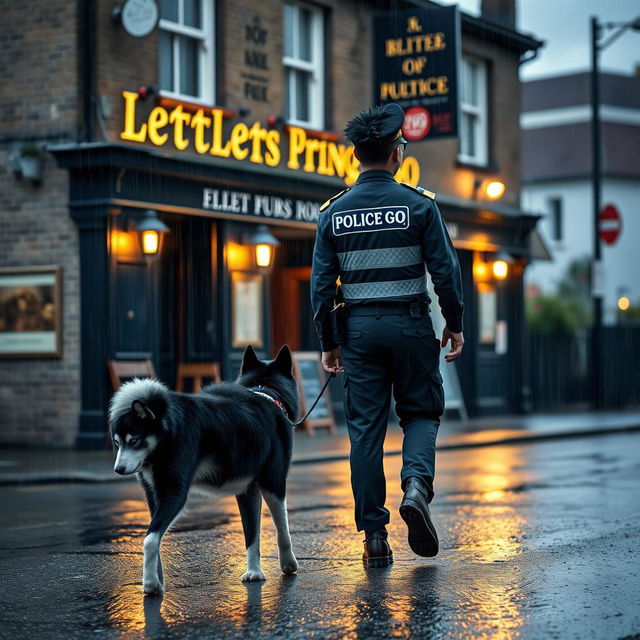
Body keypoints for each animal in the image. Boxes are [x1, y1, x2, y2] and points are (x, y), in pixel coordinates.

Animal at [107, 344, 300, 596]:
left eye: (133, 441)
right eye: (118, 443)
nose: (118, 469)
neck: (264, 391)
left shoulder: (247, 491)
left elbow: (252, 535)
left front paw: (254, 571)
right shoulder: (273, 483)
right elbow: (282, 529)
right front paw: (288, 563)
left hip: (156, 496)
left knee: (151, 536)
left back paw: (154, 580)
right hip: (176, 493)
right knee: (150, 539)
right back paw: (150, 584)